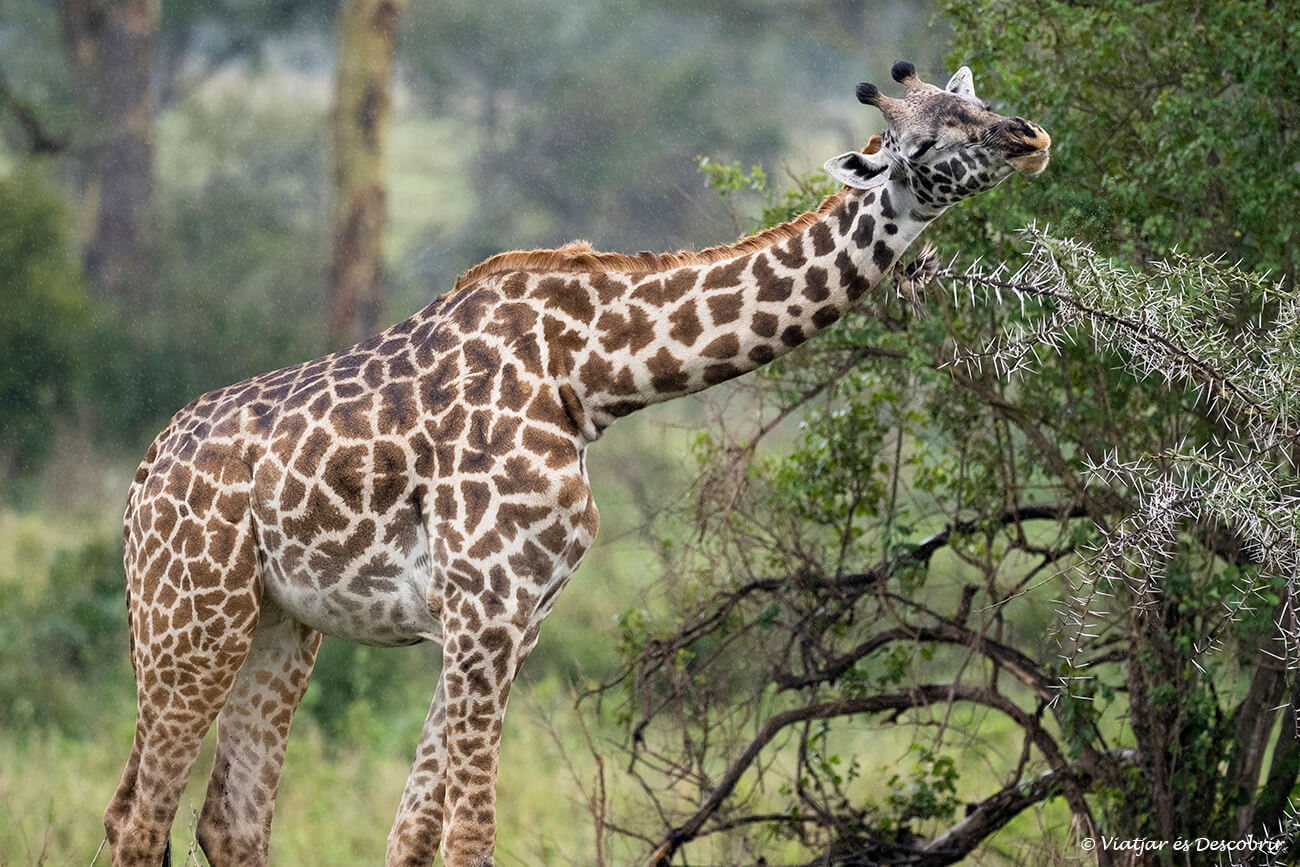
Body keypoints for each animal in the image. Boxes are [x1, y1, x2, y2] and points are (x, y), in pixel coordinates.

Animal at [104, 61, 1049, 867]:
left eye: (976, 102)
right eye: (922, 142)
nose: (1029, 136)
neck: (589, 374)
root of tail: (142, 480)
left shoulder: (512, 616)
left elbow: (412, 830)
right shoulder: (484, 606)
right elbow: (469, 835)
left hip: (278, 624)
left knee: (225, 818)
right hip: (192, 617)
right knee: (139, 816)